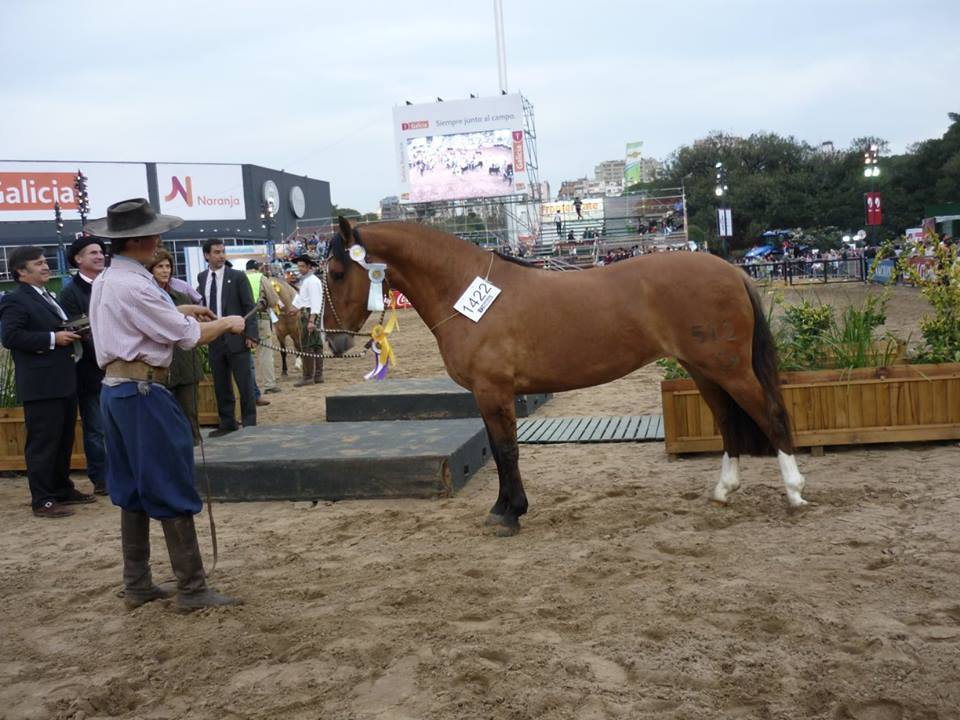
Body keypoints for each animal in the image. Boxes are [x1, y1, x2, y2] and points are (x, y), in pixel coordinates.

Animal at [324, 218, 808, 536]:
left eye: (336, 272)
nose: (333, 340)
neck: (465, 292)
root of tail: (732, 270)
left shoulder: (493, 392)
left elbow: (506, 452)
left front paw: (509, 513)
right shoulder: (486, 395)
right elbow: (500, 451)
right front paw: (504, 508)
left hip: (730, 368)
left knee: (771, 413)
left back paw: (795, 492)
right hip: (702, 369)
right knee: (727, 421)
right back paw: (724, 490)